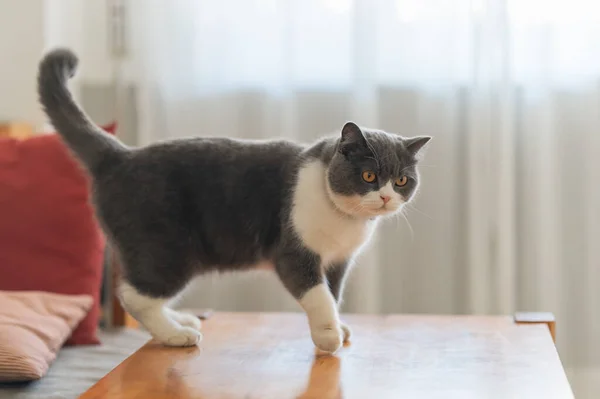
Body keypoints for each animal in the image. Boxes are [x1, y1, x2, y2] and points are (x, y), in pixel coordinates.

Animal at [37, 49, 432, 354]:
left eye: (401, 181)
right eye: (368, 177)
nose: (385, 196)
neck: (344, 221)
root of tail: (120, 155)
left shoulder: (337, 261)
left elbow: (333, 294)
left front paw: (339, 324)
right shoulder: (294, 252)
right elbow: (319, 295)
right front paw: (328, 335)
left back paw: (179, 318)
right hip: (167, 247)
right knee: (133, 295)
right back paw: (175, 334)